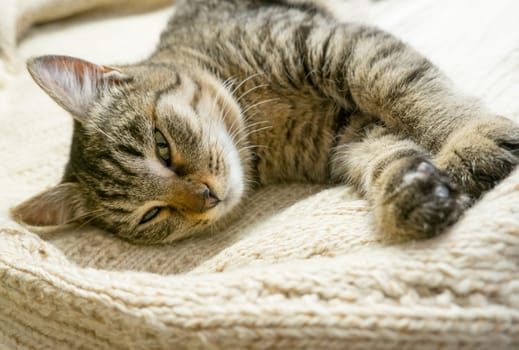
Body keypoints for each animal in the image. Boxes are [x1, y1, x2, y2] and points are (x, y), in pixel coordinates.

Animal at [10, 0, 519, 243]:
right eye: (152, 214)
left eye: (162, 147)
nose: (208, 196)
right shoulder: (348, 132)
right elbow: (385, 155)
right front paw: (410, 192)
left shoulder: (338, 47)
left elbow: (412, 92)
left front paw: (471, 141)